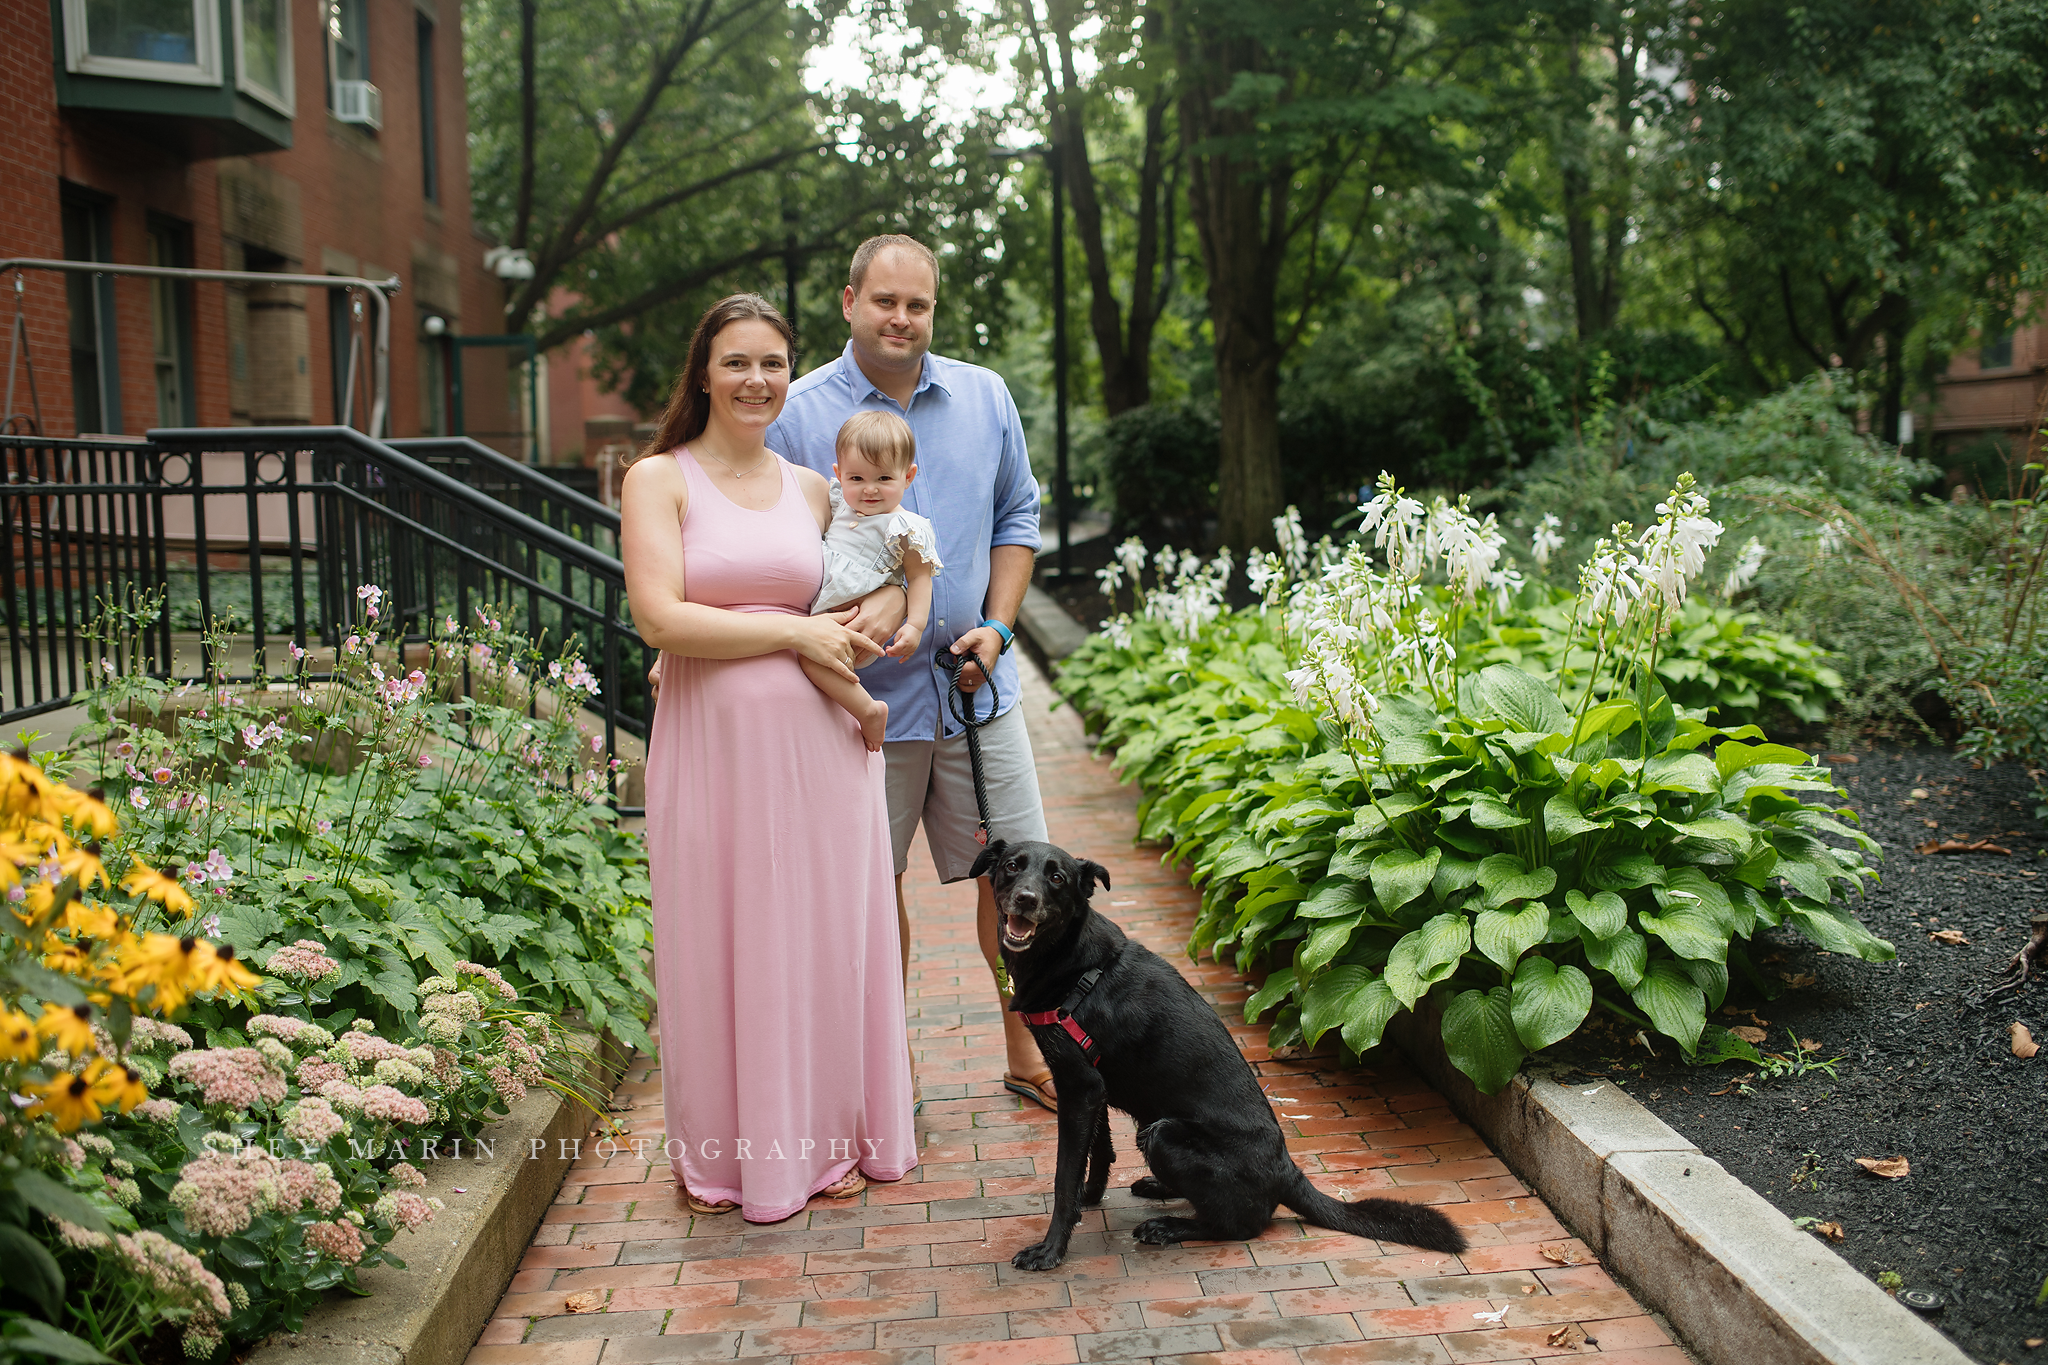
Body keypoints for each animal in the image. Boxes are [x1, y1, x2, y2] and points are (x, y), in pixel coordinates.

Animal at [978, 839, 1474, 1277]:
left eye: (1057, 878)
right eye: (1012, 867)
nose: (1024, 899)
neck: (1076, 964)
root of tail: (1287, 1172)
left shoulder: (1078, 1088)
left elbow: (1064, 1177)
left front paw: (1050, 1250)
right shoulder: (1091, 1086)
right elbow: (1098, 1153)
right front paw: (1090, 1198)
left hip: (1162, 1134)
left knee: (1244, 1224)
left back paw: (1170, 1226)